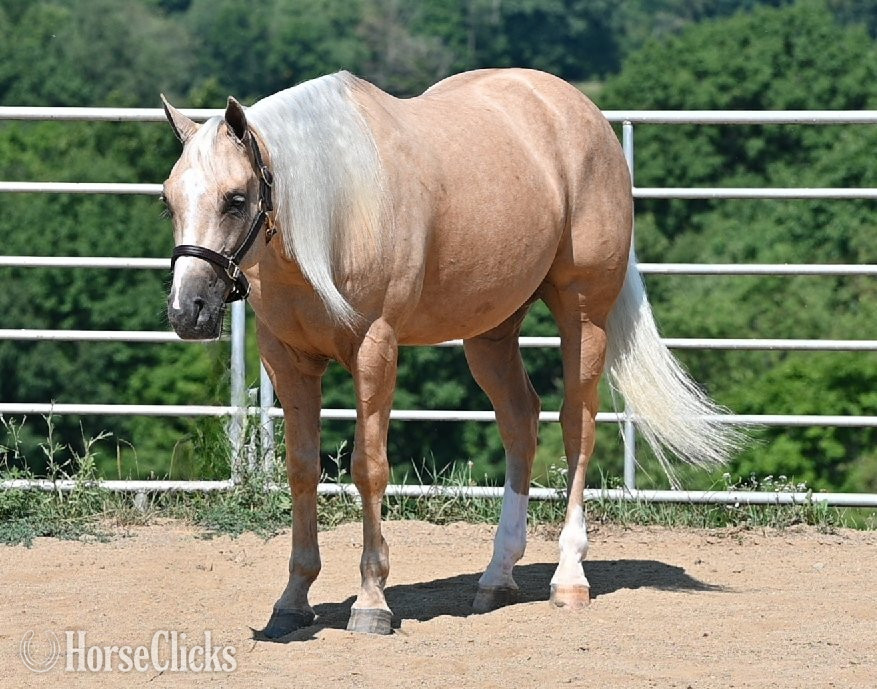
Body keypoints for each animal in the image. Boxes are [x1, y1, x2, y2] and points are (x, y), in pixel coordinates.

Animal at [160, 69, 739, 637]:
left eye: (236, 199)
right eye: (168, 200)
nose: (188, 311)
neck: (338, 212)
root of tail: (579, 110)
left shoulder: (376, 348)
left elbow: (370, 468)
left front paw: (372, 602)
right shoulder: (288, 359)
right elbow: (302, 469)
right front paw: (292, 601)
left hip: (584, 315)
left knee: (578, 425)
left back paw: (569, 577)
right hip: (491, 333)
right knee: (520, 421)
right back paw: (497, 577)